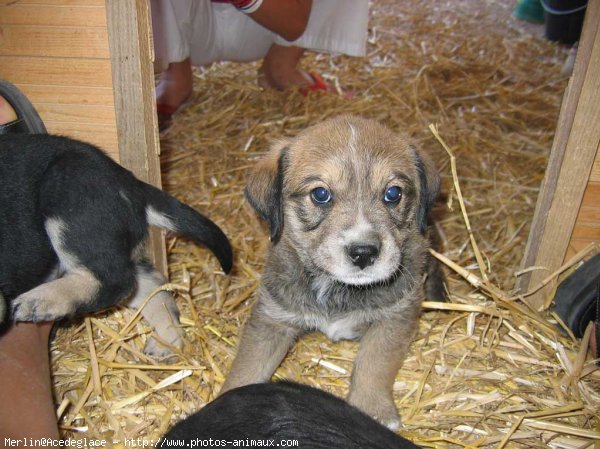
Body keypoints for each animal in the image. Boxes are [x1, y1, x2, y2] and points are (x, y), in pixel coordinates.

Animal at [0, 135, 232, 356]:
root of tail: (130, 182)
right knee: (153, 286)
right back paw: (166, 342)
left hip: (68, 198)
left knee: (116, 281)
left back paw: (39, 301)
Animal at [223, 114, 442, 428]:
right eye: (320, 194)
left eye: (393, 193)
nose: (363, 252)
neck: (336, 287)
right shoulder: (271, 320)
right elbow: (248, 366)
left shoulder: (396, 317)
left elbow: (373, 363)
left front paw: (373, 410)